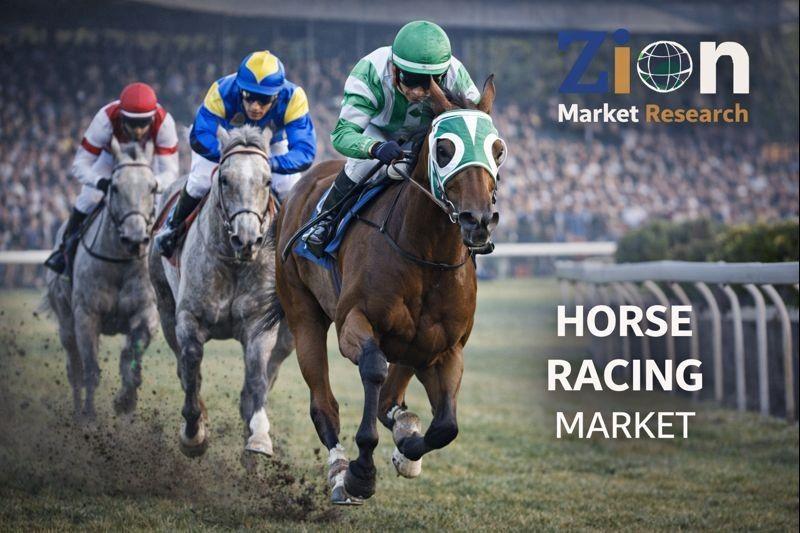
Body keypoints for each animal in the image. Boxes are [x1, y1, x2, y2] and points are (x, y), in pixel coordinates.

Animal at [45, 138, 160, 421]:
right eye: (115, 188)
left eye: (153, 187)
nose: (135, 238)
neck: (120, 263)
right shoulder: (86, 315)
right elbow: (90, 370)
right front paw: (89, 417)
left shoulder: (146, 311)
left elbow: (132, 356)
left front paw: (126, 400)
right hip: (65, 320)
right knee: (74, 367)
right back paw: (77, 411)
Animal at [148, 125, 294, 458]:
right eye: (224, 179)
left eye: (267, 180)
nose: (247, 239)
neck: (234, 263)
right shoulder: (189, 317)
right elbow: (191, 367)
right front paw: (193, 433)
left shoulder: (259, 323)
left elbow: (257, 375)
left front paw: (259, 436)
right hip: (164, 307)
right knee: (183, 366)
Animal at [271, 78, 505, 504]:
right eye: (444, 149)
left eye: (497, 150)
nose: (478, 220)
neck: (426, 255)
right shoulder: (354, 322)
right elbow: (373, 370)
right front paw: (361, 473)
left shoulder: (445, 349)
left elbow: (445, 426)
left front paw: (407, 449)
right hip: (303, 315)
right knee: (324, 404)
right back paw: (339, 471)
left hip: (414, 346)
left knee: (391, 400)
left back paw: (403, 426)